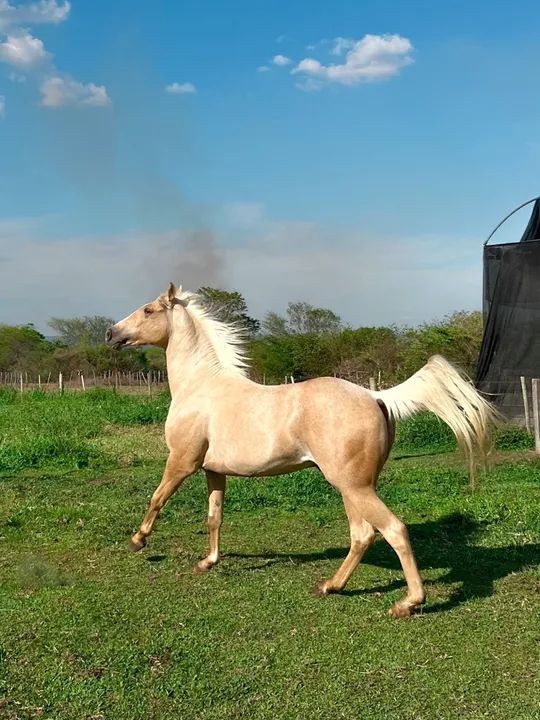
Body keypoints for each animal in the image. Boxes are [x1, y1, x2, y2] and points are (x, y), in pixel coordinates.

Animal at [105, 283, 497, 617]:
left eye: (148, 310)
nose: (111, 334)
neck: (201, 387)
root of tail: (375, 396)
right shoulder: (213, 470)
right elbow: (214, 516)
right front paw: (208, 561)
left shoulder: (182, 462)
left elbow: (157, 498)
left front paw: (137, 540)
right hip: (352, 487)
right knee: (362, 534)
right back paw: (331, 586)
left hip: (353, 486)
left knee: (394, 529)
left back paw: (407, 603)